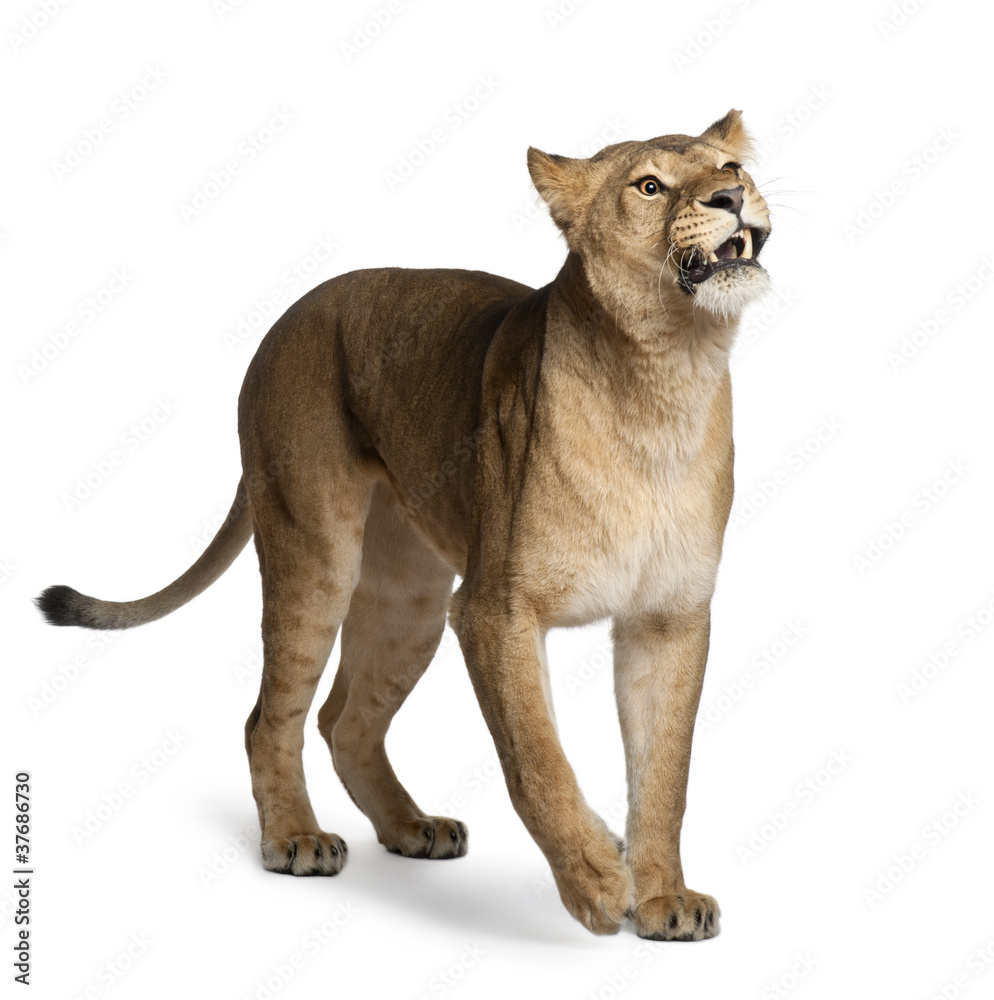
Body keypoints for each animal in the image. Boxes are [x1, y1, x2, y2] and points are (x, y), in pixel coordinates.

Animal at [37, 109, 771, 940]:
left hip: (411, 601)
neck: (666, 377)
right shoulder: (494, 609)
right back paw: (296, 839)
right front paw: (593, 878)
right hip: (317, 555)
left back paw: (413, 828)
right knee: (271, 717)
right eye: (648, 186)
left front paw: (664, 899)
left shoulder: (669, 617)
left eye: (729, 167)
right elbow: (536, 758)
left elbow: (665, 774)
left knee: (344, 720)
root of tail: (288, 317)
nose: (730, 196)